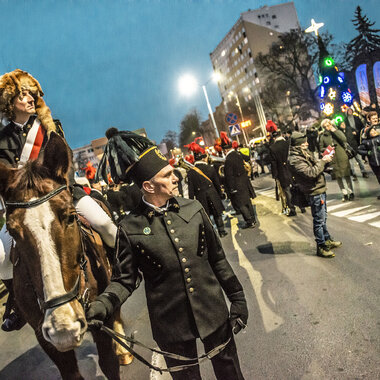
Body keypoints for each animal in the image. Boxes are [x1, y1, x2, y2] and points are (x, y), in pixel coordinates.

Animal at [0, 132, 132, 378]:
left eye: (71, 216)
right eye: (12, 231)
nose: (63, 327)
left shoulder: (99, 318)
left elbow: (108, 363)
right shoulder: (46, 339)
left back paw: (124, 350)